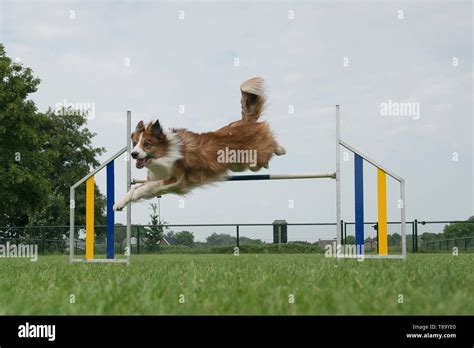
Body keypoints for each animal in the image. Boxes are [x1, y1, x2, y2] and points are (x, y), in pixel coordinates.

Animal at [113, 77, 286, 211]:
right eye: (135, 143)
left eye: (147, 143)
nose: (133, 154)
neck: (163, 155)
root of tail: (246, 121)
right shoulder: (156, 179)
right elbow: (135, 188)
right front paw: (119, 204)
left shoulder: (174, 179)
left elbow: (145, 188)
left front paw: (133, 196)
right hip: (241, 164)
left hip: (256, 157)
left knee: (272, 146)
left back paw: (281, 150)